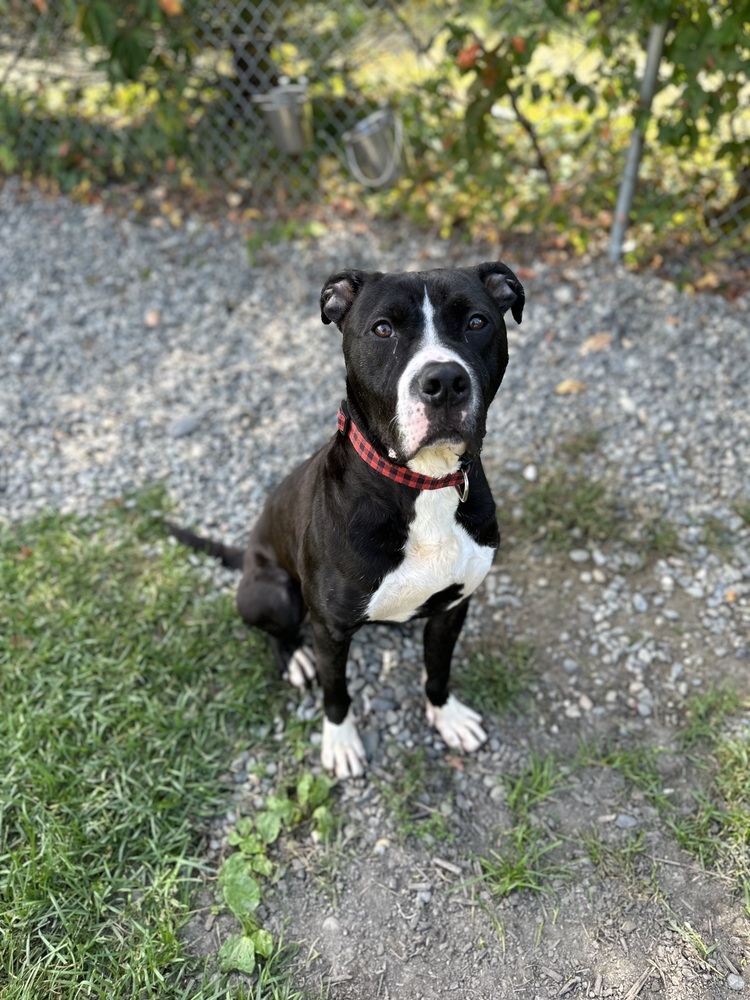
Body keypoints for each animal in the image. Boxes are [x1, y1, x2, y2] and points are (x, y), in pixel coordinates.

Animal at [169, 262, 524, 776]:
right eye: (383, 329)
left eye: (477, 322)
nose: (444, 381)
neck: (424, 484)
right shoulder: (330, 630)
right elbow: (336, 691)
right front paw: (340, 743)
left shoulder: (454, 608)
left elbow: (438, 669)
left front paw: (447, 715)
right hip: (274, 593)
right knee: (274, 631)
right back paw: (295, 659)